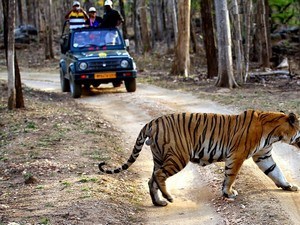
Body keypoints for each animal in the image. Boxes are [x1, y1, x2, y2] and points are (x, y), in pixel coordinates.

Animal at [99, 110, 300, 207]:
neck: (275, 134)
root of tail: (152, 121)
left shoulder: (263, 155)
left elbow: (276, 172)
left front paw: (288, 186)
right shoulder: (237, 155)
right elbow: (231, 175)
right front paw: (228, 193)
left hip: (159, 157)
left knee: (151, 179)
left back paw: (159, 202)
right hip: (178, 157)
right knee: (159, 176)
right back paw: (169, 198)